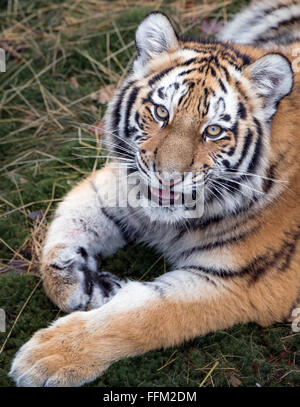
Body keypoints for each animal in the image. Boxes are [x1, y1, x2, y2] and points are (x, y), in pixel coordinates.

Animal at [8, 0, 300, 388]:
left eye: (214, 131)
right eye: (162, 112)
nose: (168, 178)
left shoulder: (246, 282)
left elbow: (144, 314)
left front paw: (50, 356)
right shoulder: (112, 185)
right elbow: (56, 248)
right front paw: (84, 285)